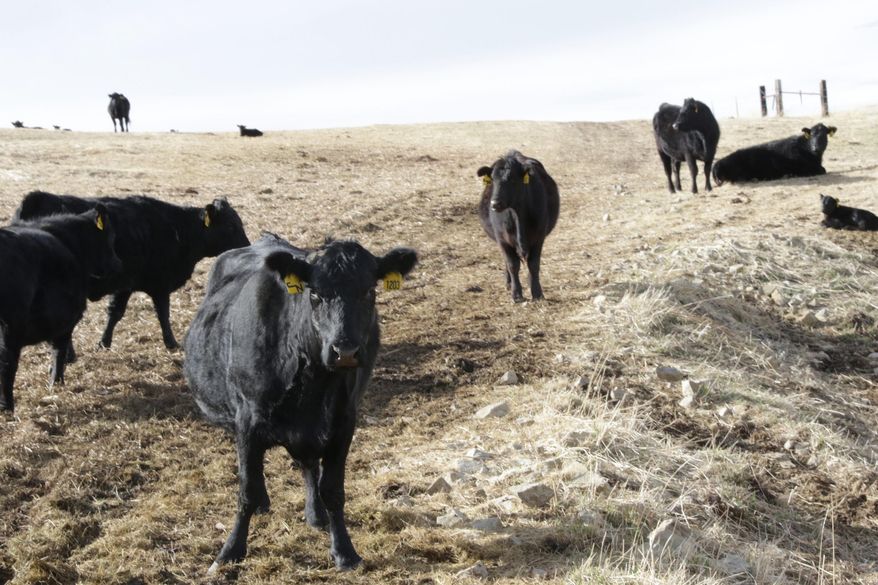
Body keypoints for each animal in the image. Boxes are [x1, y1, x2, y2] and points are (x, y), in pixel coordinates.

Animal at [1, 206, 122, 412]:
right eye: (111, 237)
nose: (117, 264)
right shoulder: (68, 321)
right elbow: (60, 350)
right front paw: (56, 382)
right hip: (11, 329)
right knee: (8, 363)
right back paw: (7, 406)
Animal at [14, 191, 250, 352]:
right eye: (231, 227)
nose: (248, 247)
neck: (178, 229)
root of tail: (37, 198)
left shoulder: (127, 285)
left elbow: (116, 313)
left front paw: (104, 343)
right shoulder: (156, 284)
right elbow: (160, 313)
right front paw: (172, 343)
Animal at [183, 234, 417, 573]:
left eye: (369, 292)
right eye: (315, 293)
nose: (345, 351)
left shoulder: (343, 422)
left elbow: (332, 489)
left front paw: (344, 551)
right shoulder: (247, 422)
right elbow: (247, 489)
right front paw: (230, 551)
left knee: (308, 466)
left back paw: (315, 514)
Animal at [477, 150, 560, 303]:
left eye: (513, 180)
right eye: (493, 180)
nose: (495, 204)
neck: (517, 215)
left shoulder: (539, 237)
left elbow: (534, 264)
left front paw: (537, 292)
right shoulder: (502, 239)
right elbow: (512, 265)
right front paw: (516, 294)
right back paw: (509, 283)